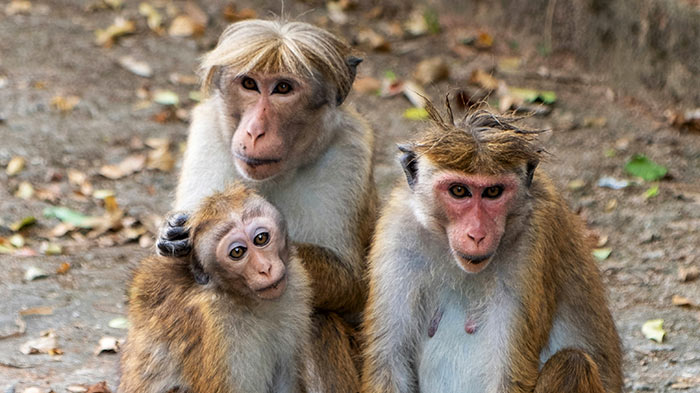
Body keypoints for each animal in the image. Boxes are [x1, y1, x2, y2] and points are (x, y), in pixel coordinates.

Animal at [120, 183, 312, 392]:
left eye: (261, 238)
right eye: (237, 252)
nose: (265, 268)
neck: (247, 301)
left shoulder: (294, 291)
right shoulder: (219, 327)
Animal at [157, 19, 378, 390]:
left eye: (283, 88)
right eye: (249, 84)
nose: (254, 131)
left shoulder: (349, 151)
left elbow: (351, 279)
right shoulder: (209, 133)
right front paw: (173, 234)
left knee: (319, 321)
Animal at [360, 99, 624, 392]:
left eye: (493, 192)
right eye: (459, 191)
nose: (477, 234)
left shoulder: (534, 240)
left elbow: (508, 374)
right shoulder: (397, 233)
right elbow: (389, 362)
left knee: (572, 363)